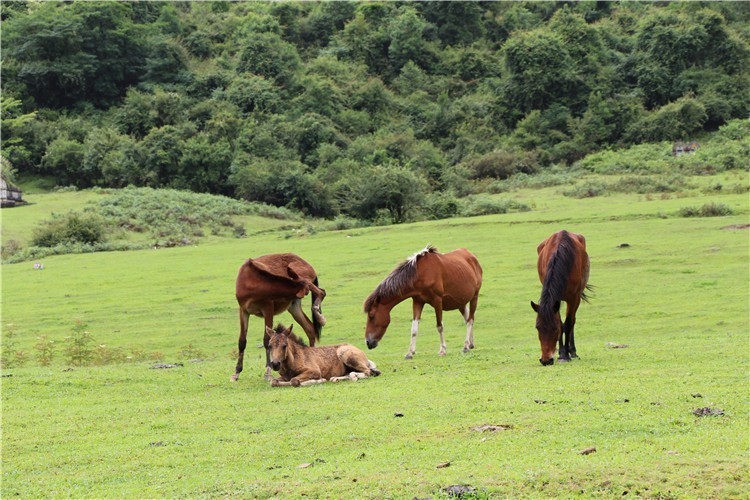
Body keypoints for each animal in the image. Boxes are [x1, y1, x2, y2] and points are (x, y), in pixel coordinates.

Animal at [232, 252, 326, 380]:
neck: (252, 282)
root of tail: (305, 262)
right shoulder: (244, 311)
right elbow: (242, 341)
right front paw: (236, 372)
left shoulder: (268, 310)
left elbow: (266, 340)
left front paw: (268, 371)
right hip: (294, 306)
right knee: (310, 328)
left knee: (321, 292)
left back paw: (319, 315)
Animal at [532, 229, 596, 366]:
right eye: (537, 327)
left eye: (554, 329)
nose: (545, 360)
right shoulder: (557, 300)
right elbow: (562, 323)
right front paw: (561, 353)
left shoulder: (573, 298)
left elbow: (567, 324)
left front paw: (566, 355)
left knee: (572, 321)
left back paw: (573, 351)